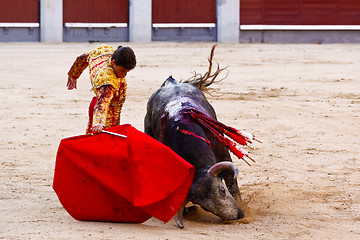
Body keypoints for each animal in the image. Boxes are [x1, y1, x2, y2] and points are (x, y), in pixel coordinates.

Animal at [143, 44, 256, 227]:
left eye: (222, 190)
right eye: (205, 206)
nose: (237, 216)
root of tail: (172, 83)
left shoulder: (223, 152)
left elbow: (233, 183)